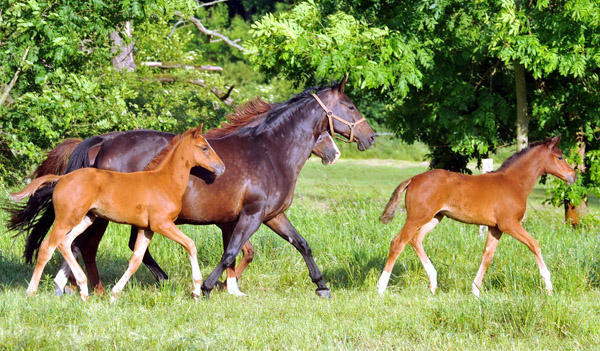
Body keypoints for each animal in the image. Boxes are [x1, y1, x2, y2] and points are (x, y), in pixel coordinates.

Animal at [10, 128, 226, 302]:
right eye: (204, 148)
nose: (222, 167)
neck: (164, 181)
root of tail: (62, 178)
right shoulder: (162, 224)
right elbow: (190, 244)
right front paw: (197, 290)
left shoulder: (146, 229)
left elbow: (136, 260)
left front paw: (115, 294)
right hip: (66, 219)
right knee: (48, 247)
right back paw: (32, 291)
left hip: (87, 219)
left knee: (66, 244)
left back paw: (83, 289)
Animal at [378, 137, 580, 296]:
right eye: (560, 157)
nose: (574, 176)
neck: (514, 183)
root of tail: (413, 179)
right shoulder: (509, 224)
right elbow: (534, 245)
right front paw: (549, 287)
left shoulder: (495, 228)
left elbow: (487, 256)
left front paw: (475, 290)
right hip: (417, 217)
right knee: (398, 242)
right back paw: (381, 287)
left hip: (435, 218)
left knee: (415, 240)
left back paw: (433, 284)